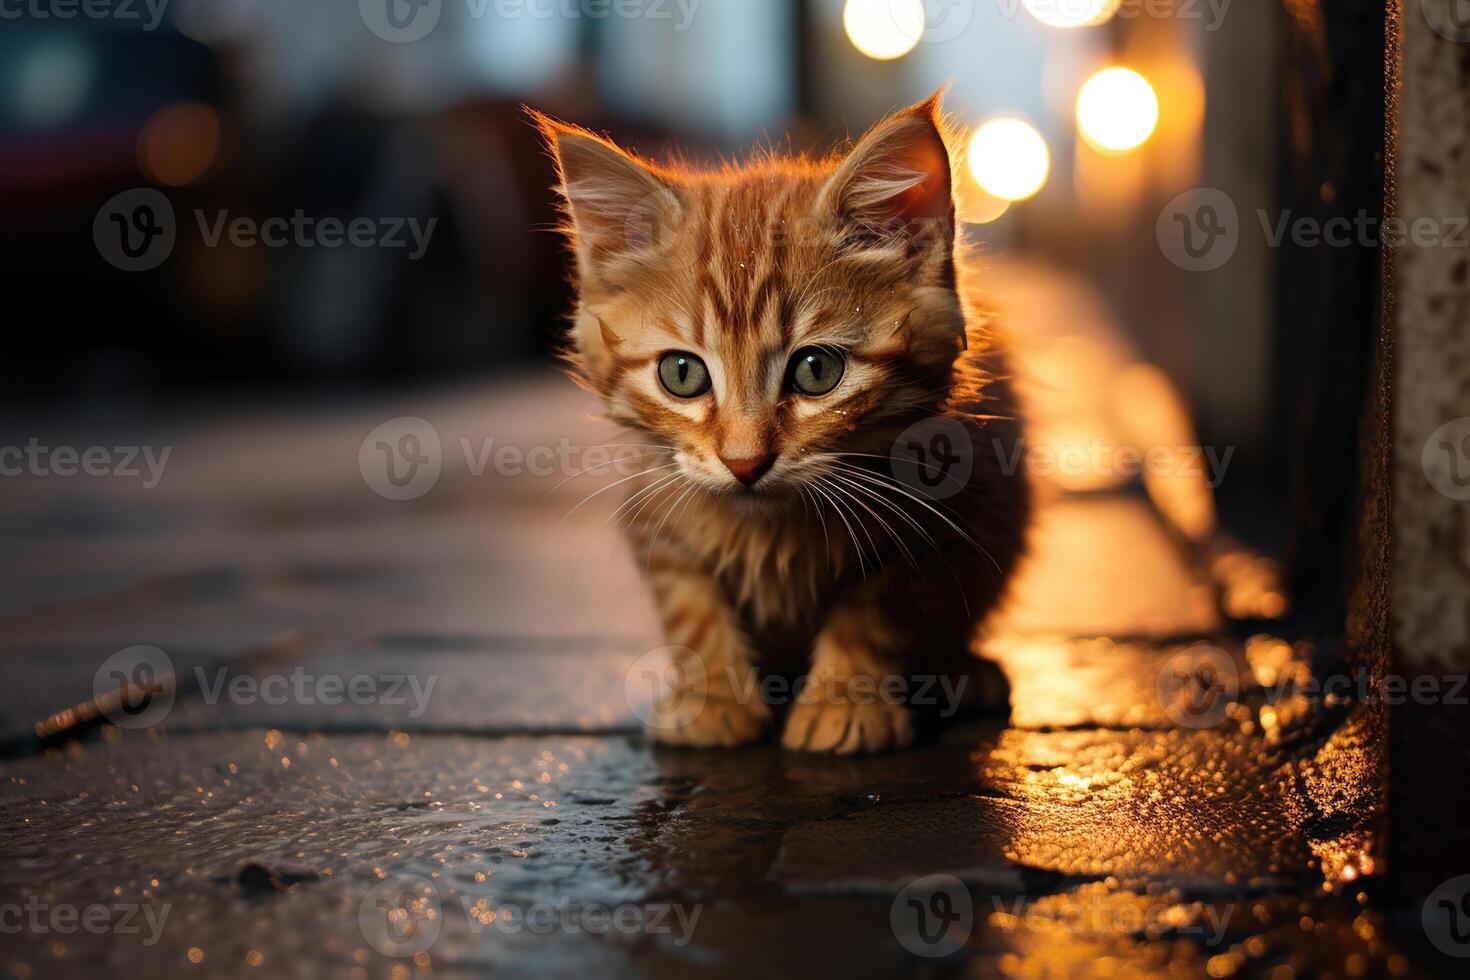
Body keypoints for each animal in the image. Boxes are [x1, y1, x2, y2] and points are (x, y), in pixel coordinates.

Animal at [535, 91, 1029, 758]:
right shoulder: (655, 511)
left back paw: (965, 675)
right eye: (682, 373)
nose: (744, 462)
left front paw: (844, 704)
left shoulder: (939, 518)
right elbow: (691, 606)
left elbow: (875, 613)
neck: (769, 528)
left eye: (817, 370)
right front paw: (713, 701)